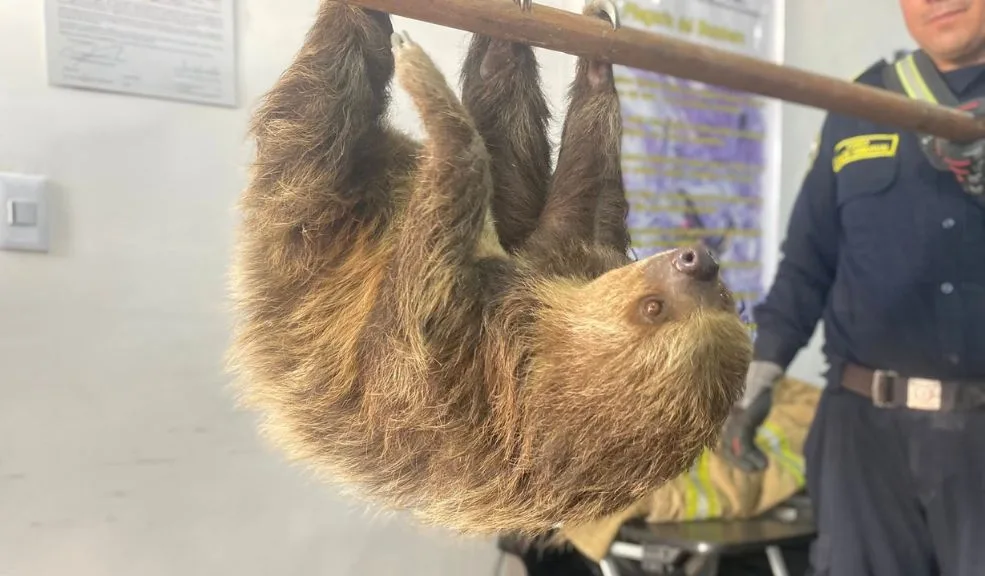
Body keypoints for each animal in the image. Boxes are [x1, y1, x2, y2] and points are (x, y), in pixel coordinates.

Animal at [227, 0, 752, 537]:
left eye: (653, 308)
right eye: (725, 298)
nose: (700, 261)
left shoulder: (461, 358)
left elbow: (397, 324)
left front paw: (436, 107)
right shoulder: (570, 265)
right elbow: (586, 206)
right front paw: (599, 65)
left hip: (301, 219)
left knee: (323, 113)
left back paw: (366, 29)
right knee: (506, 140)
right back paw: (504, 43)